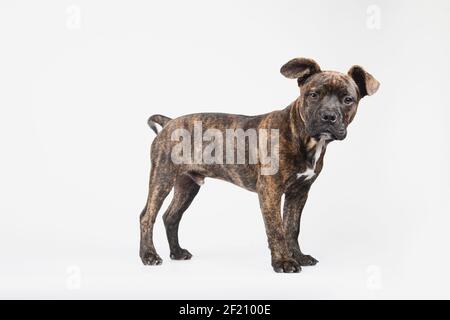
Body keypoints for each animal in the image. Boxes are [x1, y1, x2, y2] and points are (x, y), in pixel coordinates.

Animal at [139, 57, 378, 272]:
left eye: (348, 99)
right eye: (313, 95)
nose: (328, 116)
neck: (303, 136)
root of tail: (169, 122)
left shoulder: (299, 193)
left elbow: (292, 227)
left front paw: (298, 256)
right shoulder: (270, 191)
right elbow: (277, 228)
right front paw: (283, 261)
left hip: (187, 185)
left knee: (171, 216)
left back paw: (177, 253)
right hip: (162, 178)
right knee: (147, 216)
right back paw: (149, 255)